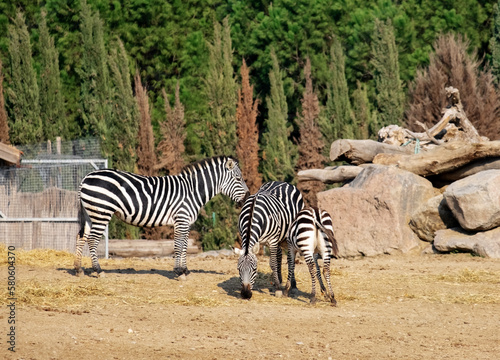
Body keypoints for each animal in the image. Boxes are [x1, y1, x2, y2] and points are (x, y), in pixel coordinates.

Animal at [74, 155, 250, 278]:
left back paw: (78, 269)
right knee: (92, 239)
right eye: (238, 179)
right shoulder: (181, 218)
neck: (192, 191)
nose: (248, 196)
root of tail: (86, 177)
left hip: (91, 214)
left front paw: (185, 270)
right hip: (101, 212)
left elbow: (185, 246)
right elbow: (178, 245)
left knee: (81, 237)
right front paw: (179, 272)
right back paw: (98, 270)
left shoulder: (186, 222)